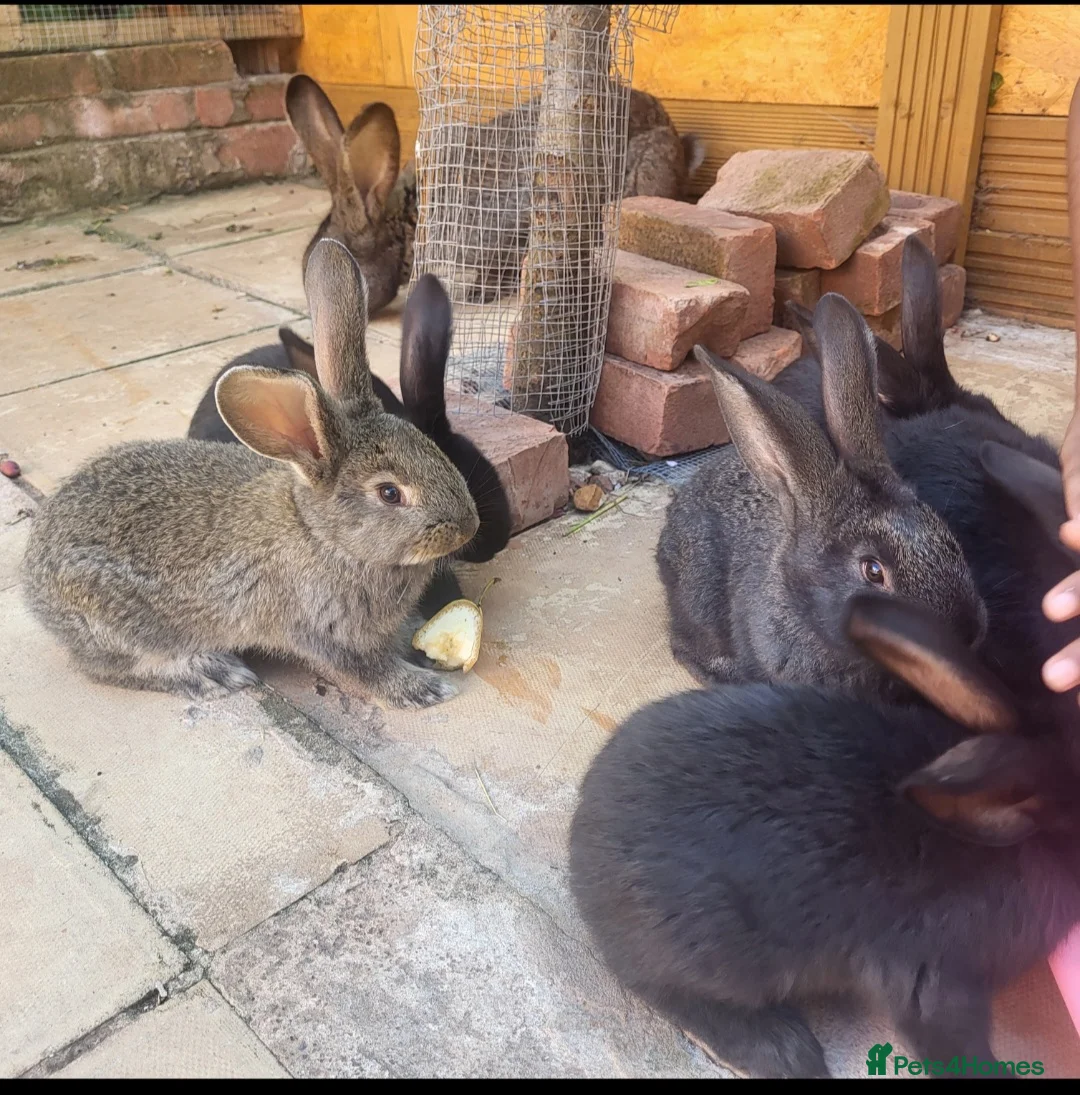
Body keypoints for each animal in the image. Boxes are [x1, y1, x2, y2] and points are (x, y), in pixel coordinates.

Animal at [21, 239, 479, 708]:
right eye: (389, 493)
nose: (468, 526)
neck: (323, 536)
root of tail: (31, 580)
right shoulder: (323, 631)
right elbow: (366, 669)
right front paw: (421, 688)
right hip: (122, 625)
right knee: (115, 668)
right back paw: (214, 673)